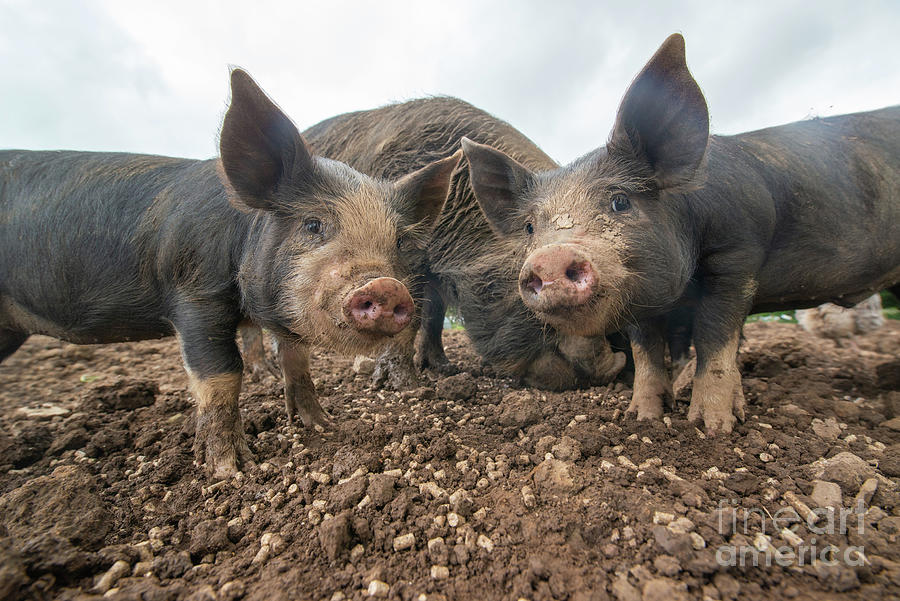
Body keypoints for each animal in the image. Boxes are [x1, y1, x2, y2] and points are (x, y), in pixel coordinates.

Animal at [0, 70, 460, 476]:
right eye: (313, 225)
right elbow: (221, 373)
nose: (386, 286)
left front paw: (326, 425)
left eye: (398, 241)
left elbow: (297, 362)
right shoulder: (193, 294)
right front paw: (231, 470)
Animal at [464, 34, 900, 432]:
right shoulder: (640, 293)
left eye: (620, 201)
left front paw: (712, 426)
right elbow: (647, 354)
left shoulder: (738, 253)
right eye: (530, 227)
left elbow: (715, 339)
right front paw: (641, 417)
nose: (550, 258)